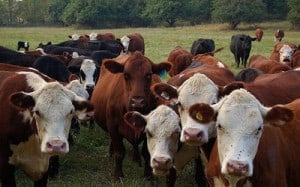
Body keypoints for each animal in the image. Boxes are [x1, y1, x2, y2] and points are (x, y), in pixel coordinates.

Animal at [90, 51, 171, 181]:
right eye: (126, 75)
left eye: (149, 75)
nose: (137, 102)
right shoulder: (113, 126)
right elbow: (119, 152)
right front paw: (118, 175)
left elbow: (146, 153)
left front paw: (148, 176)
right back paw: (111, 152)